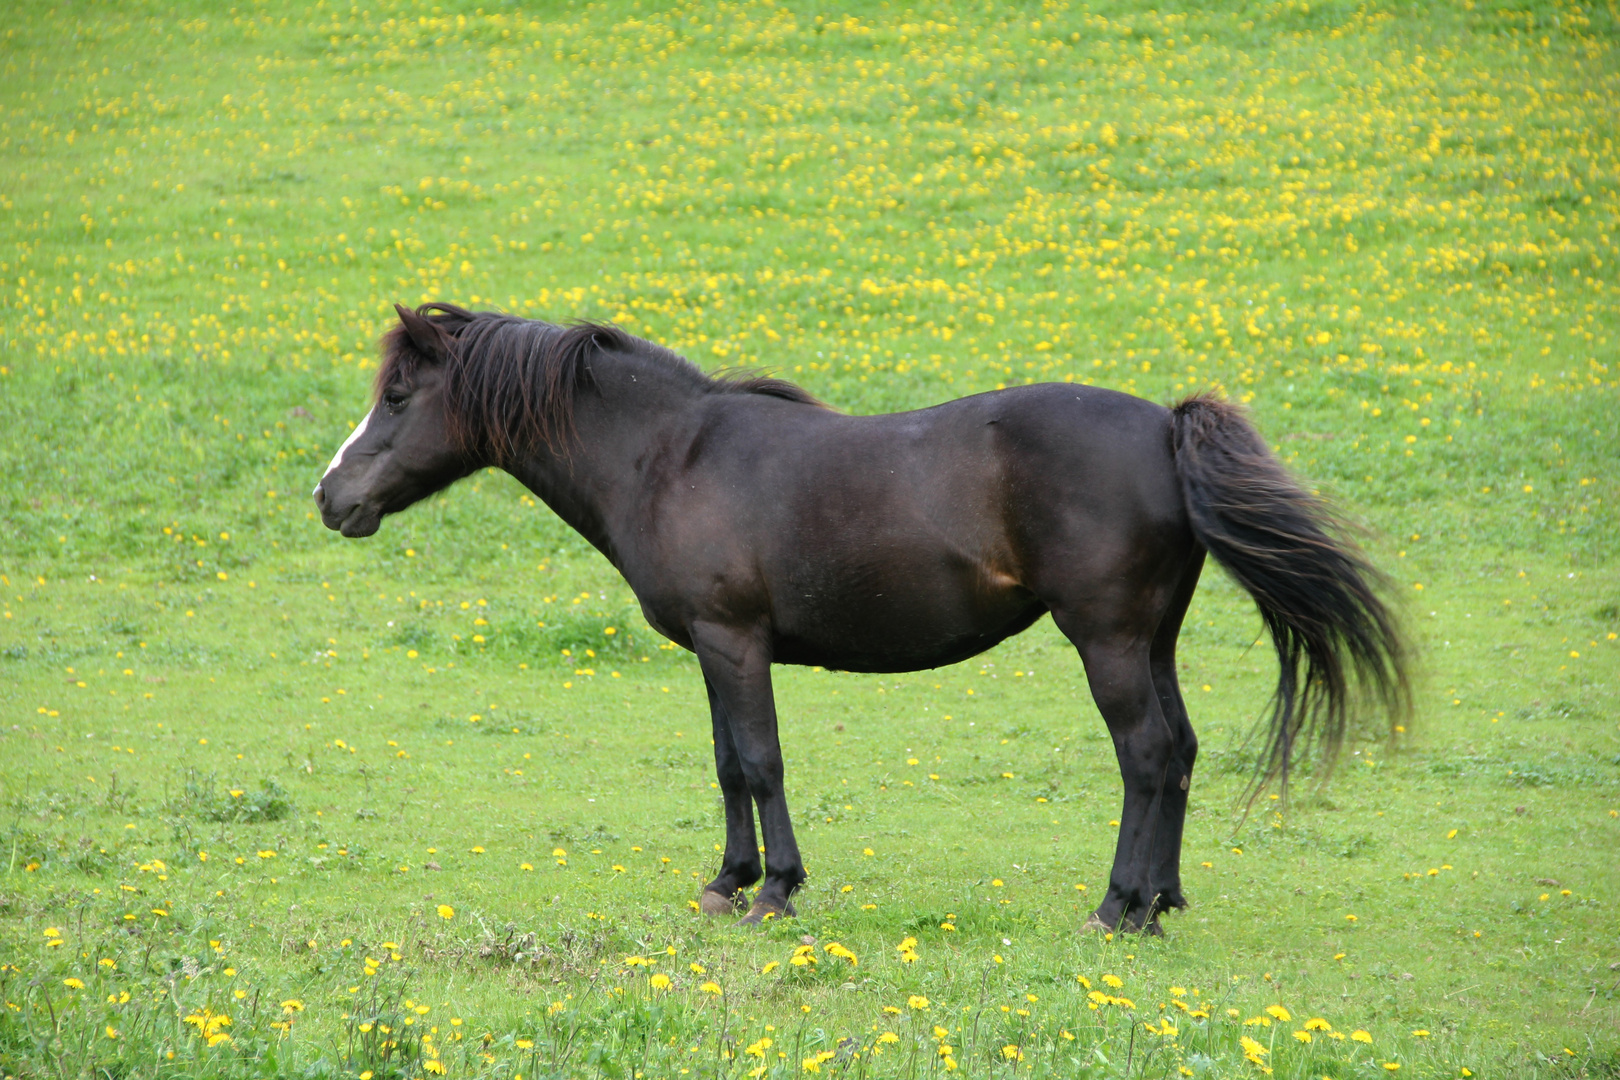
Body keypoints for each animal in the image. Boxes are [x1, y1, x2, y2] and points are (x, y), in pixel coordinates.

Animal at [315, 306, 1406, 939]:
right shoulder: (710, 650)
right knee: (1178, 751)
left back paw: (1116, 909)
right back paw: (1162, 902)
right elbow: (726, 764)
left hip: (1106, 641)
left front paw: (773, 890)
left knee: (1143, 755)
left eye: (399, 394)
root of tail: (1164, 426)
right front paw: (726, 881)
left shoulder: (736, 641)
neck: (672, 457)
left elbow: (760, 762)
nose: (331, 496)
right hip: (1154, 640)